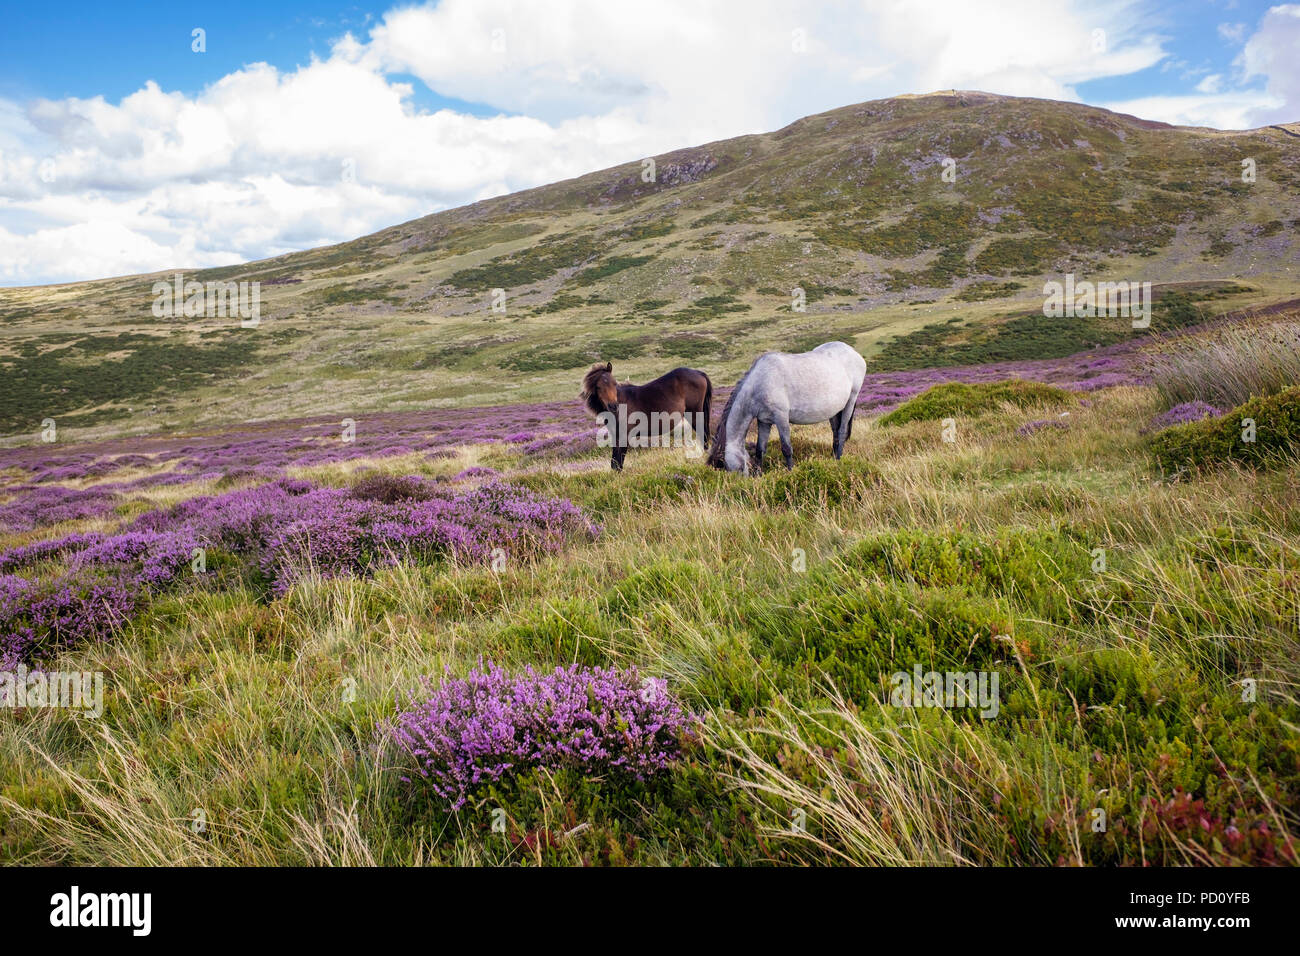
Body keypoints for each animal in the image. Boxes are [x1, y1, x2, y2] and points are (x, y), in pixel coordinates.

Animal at [580, 363, 712, 470]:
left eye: (614, 383)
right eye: (598, 387)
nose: (613, 406)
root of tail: (699, 373)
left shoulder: (624, 436)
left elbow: (619, 462)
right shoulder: (616, 436)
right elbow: (614, 463)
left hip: (694, 413)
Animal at [706, 341, 865, 474]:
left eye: (734, 468)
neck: (760, 382)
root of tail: (853, 352)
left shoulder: (781, 417)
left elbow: (786, 448)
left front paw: (791, 472)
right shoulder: (764, 421)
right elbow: (760, 449)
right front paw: (759, 475)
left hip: (850, 401)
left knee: (842, 431)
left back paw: (838, 460)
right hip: (835, 410)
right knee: (835, 433)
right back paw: (833, 457)